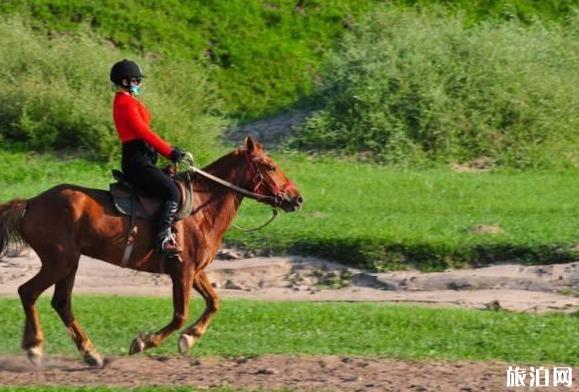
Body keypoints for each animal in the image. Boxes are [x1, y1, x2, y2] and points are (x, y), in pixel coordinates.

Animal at [0, 136, 306, 366]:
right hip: (59, 262)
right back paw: (35, 347)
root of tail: (31, 203)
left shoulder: (195, 271)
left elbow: (214, 302)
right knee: (28, 292)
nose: (298, 198)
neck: (201, 209)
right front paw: (144, 342)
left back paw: (90, 353)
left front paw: (190, 338)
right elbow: (180, 314)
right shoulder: (181, 271)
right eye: (270, 166)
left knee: (61, 303)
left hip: (69, 264)